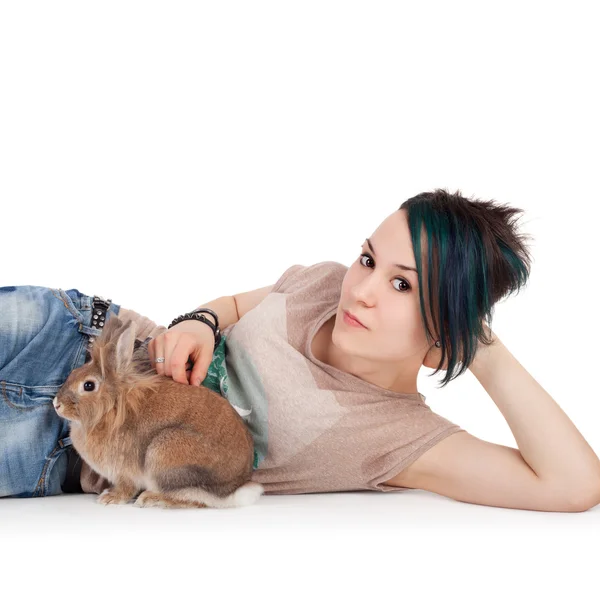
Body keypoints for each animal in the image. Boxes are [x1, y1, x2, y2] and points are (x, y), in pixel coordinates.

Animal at [52, 312, 264, 508]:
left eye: (88, 386)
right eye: (73, 373)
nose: (56, 404)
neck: (111, 409)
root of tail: (234, 488)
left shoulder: (125, 472)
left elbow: (126, 488)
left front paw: (110, 498)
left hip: (162, 454)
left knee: (191, 498)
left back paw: (151, 499)